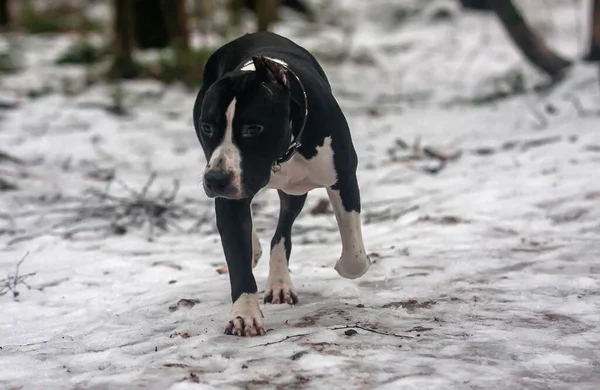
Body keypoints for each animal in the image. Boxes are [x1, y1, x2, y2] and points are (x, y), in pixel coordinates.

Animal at [192, 31, 370, 336]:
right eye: (207, 127)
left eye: (253, 129)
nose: (215, 180)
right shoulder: (230, 196)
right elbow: (237, 260)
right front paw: (244, 314)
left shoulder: (344, 179)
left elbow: (355, 256)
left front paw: (349, 264)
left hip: (295, 192)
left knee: (282, 231)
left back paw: (279, 284)